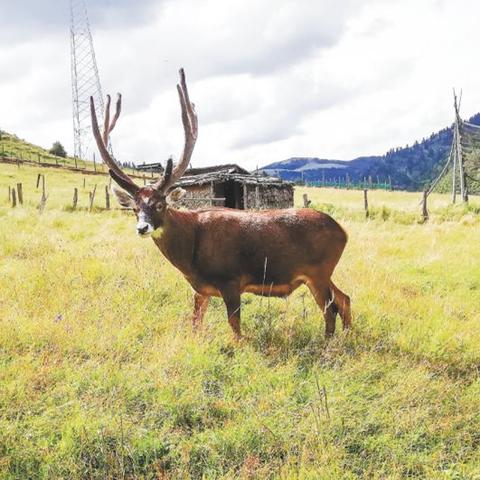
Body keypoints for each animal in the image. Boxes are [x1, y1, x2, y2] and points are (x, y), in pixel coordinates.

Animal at [91, 68, 352, 338]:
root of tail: (343, 232)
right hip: (322, 273)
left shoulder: (231, 280)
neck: (191, 253)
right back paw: (347, 335)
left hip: (318, 270)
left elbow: (235, 329)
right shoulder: (200, 289)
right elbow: (195, 324)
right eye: (134, 208)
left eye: (160, 204)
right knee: (345, 299)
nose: (142, 228)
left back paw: (330, 342)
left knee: (330, 309)